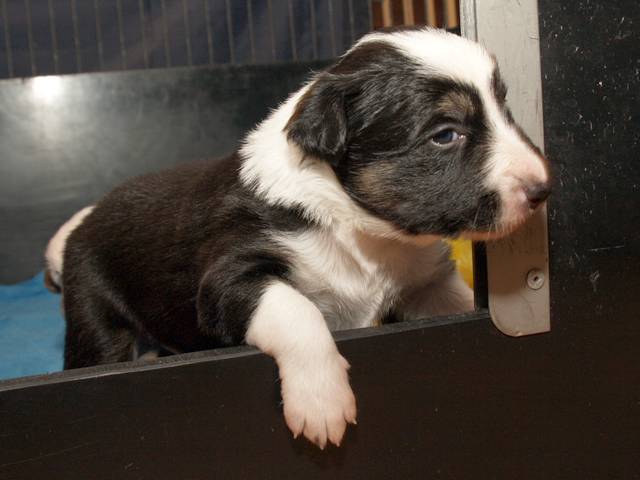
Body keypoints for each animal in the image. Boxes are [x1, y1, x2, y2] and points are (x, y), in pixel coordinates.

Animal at [59, 28, 550, 449]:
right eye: (446, 134)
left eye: (505, 111)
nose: (542, 189)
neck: (364, 232)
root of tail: (88, 216)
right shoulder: (229, 276)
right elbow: (297, 309)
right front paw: (321, 402)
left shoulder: (424, 283)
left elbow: (455, 301)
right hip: (96, 316)